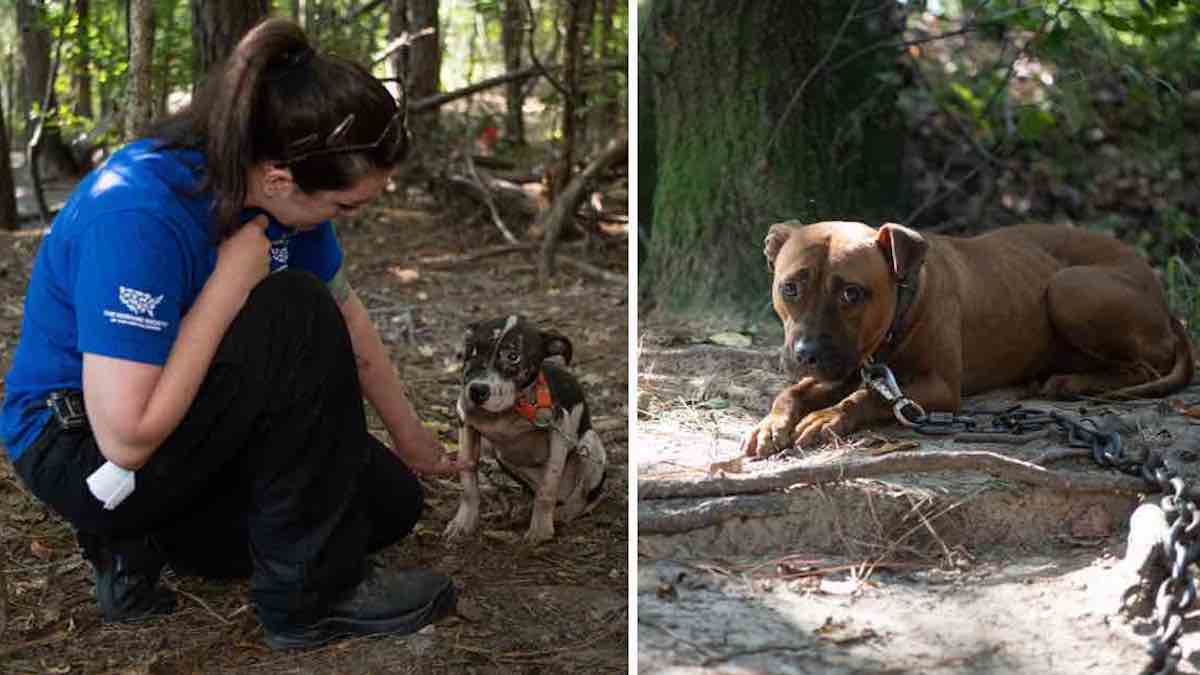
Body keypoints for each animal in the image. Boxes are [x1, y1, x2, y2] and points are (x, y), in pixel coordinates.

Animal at [739, 222, 1190, 456]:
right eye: (790, 288)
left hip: (1068, 287)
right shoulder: (846, 369)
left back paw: (1070, 382)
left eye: (852, 293)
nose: (807, 354)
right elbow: (793, 392)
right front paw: (771, 424)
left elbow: (865, 398)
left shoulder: (937, 388)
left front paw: (827, 417)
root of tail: (1162, 298)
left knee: (1144, 368)